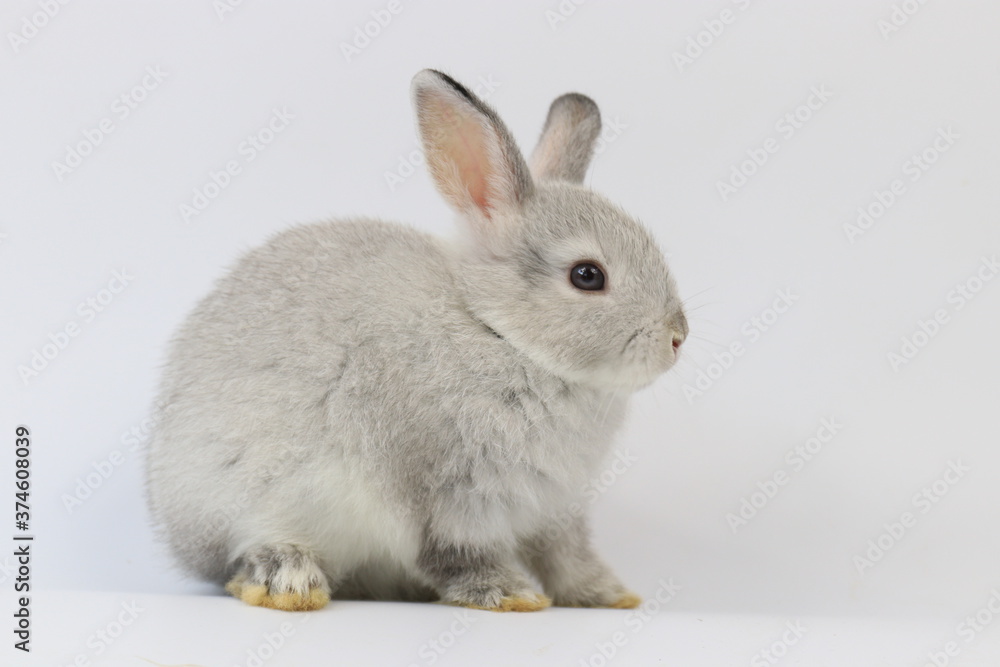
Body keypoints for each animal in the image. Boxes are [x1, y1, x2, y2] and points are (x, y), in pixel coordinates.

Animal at [143, 70, 688, 612]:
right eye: (587, 275)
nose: (678, 336)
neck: (499, 333)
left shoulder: (555, 507)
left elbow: (566, 556)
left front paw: (608, 595)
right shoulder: (444, 494)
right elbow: (455, 552)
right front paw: (509, 595)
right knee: (239, 560)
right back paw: (289, 580)